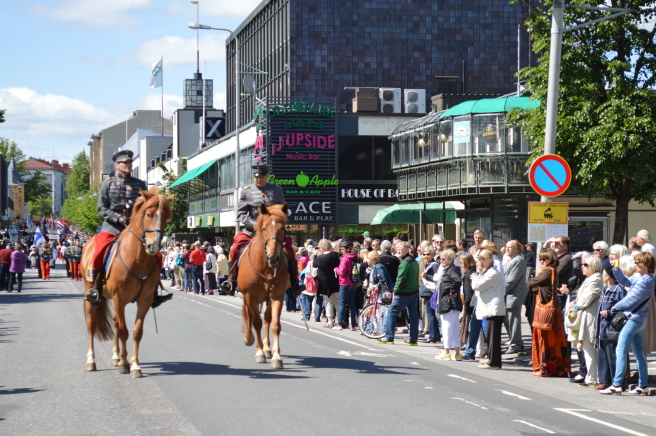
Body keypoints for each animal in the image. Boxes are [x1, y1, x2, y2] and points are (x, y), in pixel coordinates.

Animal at [81, 190, 173, 378]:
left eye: (167, 217)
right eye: (149, 214)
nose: (154, 246)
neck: (137, 259)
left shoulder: (144, 300)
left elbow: (137, 332)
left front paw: (134, 365)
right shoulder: (119, 299)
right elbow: (124, 331)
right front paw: (125, 364)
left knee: (116, 322)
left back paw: (116, 356)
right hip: (91, 295)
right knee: (92, 325)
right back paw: (91, 361)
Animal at [238, 203, 290, 370]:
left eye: (283, 228)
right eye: (264, 228)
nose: (273, 257)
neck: (266, 267)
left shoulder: (277, 296)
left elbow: (275, 324)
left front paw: (276, 357)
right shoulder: (250, 296)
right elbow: (256, 322)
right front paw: (259, 353)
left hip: (267, 299)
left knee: (267, 319)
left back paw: (268, 349)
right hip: (247, 297)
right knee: (251, 317)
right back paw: (251, 340)